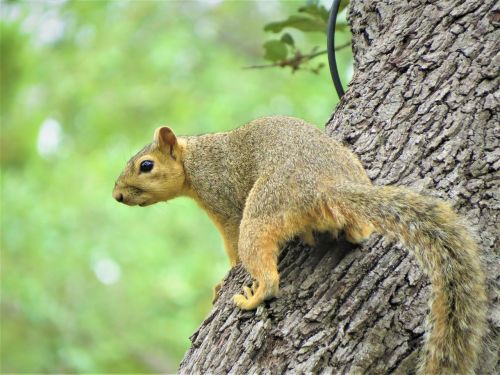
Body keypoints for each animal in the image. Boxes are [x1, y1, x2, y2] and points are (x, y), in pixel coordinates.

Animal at [114, 116, 488, 374]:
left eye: (146, 166)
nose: (117, 195)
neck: (195, 160)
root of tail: (326, 186)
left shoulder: (224, 201)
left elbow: (233, 246)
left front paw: (223, 281)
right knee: (356, 229)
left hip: (265, 208)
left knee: (264, 265)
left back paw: (255, 295)